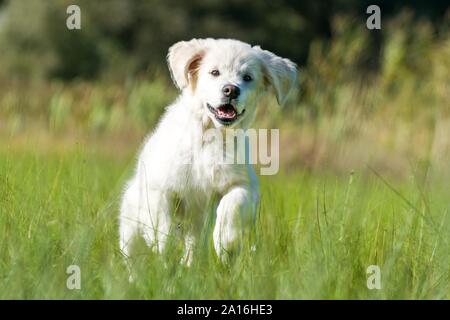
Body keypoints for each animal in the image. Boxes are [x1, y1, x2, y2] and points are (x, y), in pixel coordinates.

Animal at [119, 38, 298, 264]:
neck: (210, 134)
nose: (231, 90)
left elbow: (232, 205)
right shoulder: (159, 188)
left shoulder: (244, 184)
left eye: (248, 77)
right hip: (130, 227)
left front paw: (226, 242)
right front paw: (166, 248)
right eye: (214, 72)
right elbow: (162, 225)